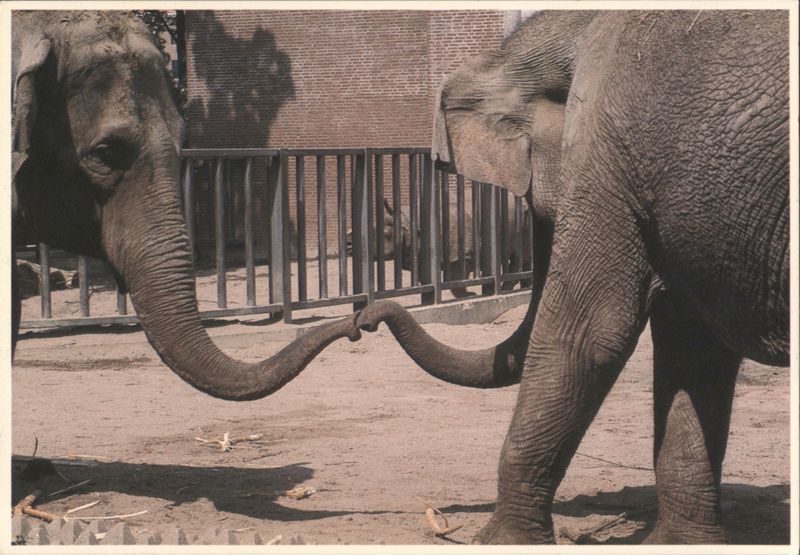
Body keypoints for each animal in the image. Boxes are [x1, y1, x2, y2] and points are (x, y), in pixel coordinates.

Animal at [356, 10, 789, 544]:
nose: (362, 321)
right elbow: (693, 350)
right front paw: (680, 544)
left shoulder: (606, 154)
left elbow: (586, 333)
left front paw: (502, 541)